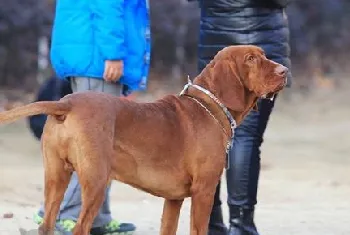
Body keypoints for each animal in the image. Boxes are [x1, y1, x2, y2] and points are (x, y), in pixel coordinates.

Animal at [0, 45, 288, 234]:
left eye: (264, 55)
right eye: (251, 59)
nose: (285, 70)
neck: (209, 107)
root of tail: (66, 103)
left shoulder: (174, 199)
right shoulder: (203, 191)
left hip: (56, 176)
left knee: (46, 225)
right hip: (96, 182)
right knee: (80, 228)